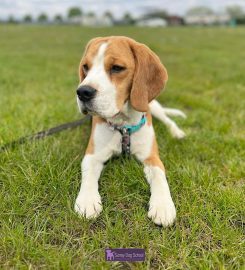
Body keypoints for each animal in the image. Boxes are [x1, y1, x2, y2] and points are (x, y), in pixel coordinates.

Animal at [74, 35, 186, 226]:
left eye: (117, 68)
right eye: (86, 67)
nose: (82, 92)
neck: (123, 126)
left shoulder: (152, 158)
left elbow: (160, 176)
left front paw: (163, 205)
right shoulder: (92, 155)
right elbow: (88, 177)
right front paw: (87, 200)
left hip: (153, 106)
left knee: (168, 119)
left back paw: (176, 132)